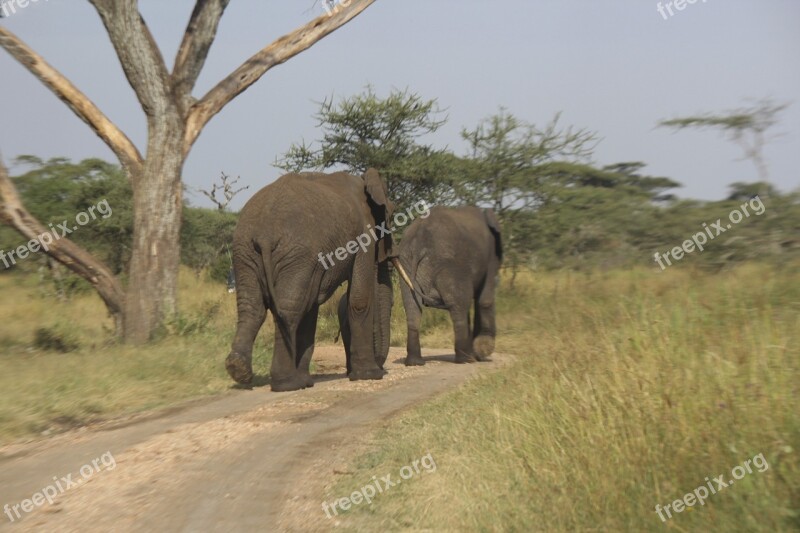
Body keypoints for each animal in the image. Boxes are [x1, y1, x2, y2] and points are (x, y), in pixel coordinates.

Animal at [225, 169, 394, 390]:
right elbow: (359, 300)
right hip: (296, 253)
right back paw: (286, 384)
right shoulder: (364, 233)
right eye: (392, 215)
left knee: (254, 307)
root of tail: (265, 233)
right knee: (289, 308)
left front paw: (306, 381)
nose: (382, 368)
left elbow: (311, 306)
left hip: (245, 252)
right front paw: (370, 375)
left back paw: (239, 370)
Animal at [392, 206, 500, 364]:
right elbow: (485, 299)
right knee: (459, 306)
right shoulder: (491, 255)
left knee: (412, 307)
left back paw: (415, 362)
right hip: (450, 265)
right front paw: (482, 351)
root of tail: (419, 238)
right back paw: (465, 360)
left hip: (406, 261)